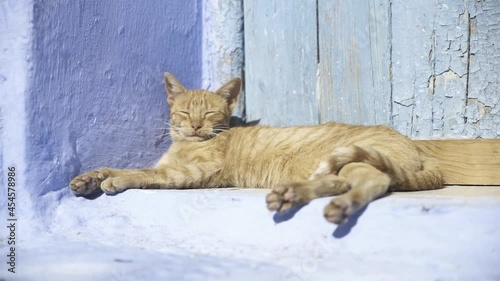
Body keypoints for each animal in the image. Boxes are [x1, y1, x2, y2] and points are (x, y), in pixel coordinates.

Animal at [69, 71, 442, 223]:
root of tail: (419, 153)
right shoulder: (169, 165)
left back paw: (338, 206)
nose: (195, 125)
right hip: (335, 164)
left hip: (353, 157)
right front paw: (88, 178)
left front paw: (116, 180)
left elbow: (141, 173)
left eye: (209, 113)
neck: (185, 145)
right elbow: (119, 165)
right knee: (337, 181)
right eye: (186, 112)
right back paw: (290, 194)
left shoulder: (193, 172)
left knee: (373, 181)